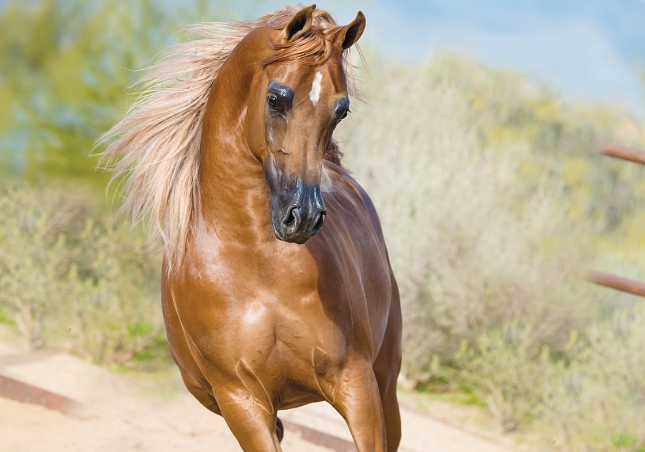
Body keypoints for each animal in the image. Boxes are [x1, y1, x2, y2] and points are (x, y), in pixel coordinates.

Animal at [98, 4, 400, 452]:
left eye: (341, 109)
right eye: (276, 98)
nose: (303, 216)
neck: (257, 265)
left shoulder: (356, 382)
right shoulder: (241, 400)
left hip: (386, 381)